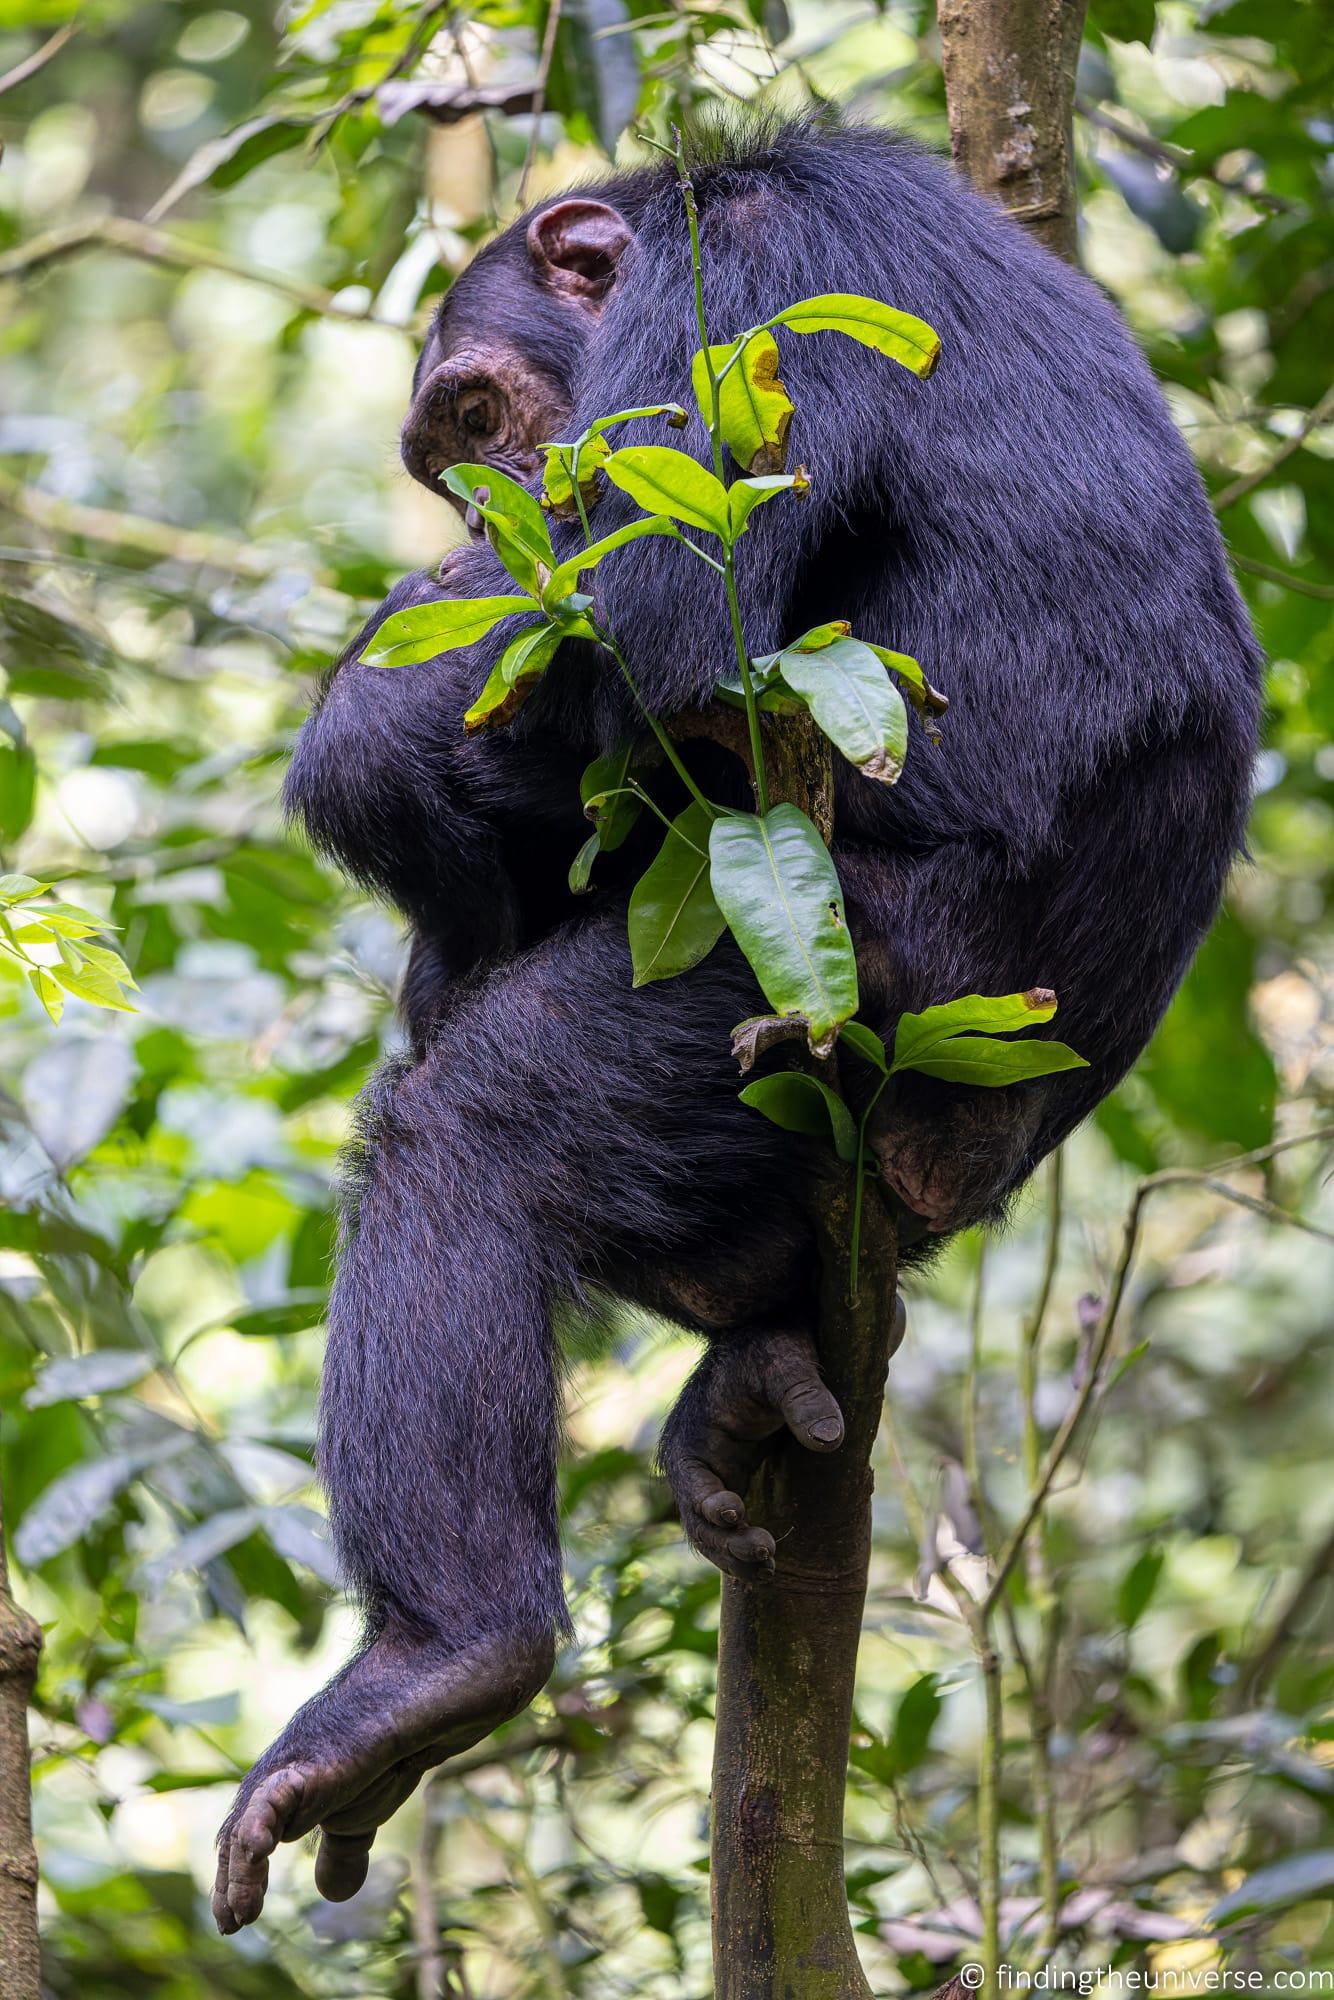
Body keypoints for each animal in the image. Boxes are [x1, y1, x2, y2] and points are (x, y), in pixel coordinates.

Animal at [211, 117, 1264, 1928]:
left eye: (476, 421)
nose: (486, 520)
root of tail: (968, 1143)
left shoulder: (752, 291)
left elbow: (649, 640)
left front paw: (377, 689)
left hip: (820, 989)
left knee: (467, 1141)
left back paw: (439, 1662)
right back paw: (755, 1375)